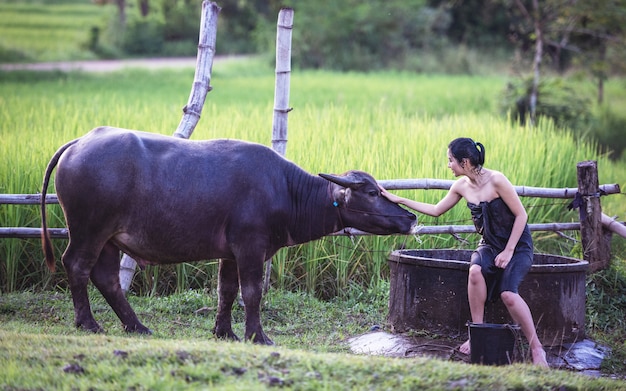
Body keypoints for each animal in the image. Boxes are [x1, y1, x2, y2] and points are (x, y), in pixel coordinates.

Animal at [40, 127, 414, 344]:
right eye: (370, 192)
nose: (410, 217)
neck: (284, 190)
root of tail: (80, 142)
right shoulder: (250, 246)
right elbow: (252, 292)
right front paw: (257, 335)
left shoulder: (230, 252)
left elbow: (227, 291)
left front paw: (224, 332)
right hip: (88, 230)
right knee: (77, 265)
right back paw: (88, 323)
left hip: (109, 238)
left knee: (106, 277)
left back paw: (137, 326)